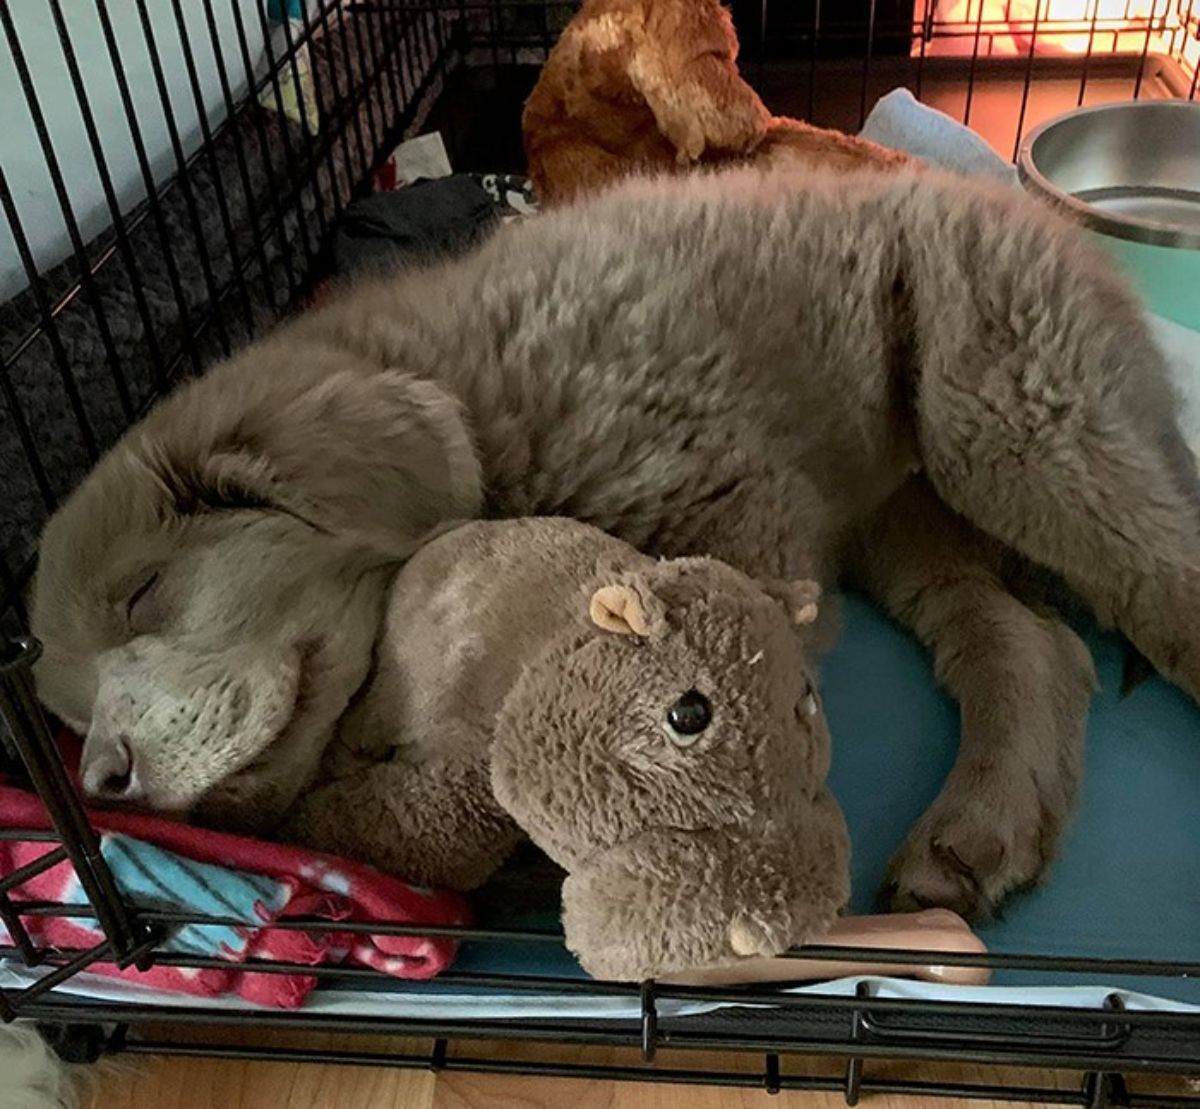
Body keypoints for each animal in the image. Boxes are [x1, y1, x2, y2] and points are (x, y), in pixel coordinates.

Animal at [30, 162, 1200, 907]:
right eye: (71, 710)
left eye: (144, 593)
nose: (104, 784)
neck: (474, 398)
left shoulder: (726, 527)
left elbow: (503, 775)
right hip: (911, 511)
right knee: (1030, 643)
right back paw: (975, 834)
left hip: (1009, 408)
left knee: (1159, 574)